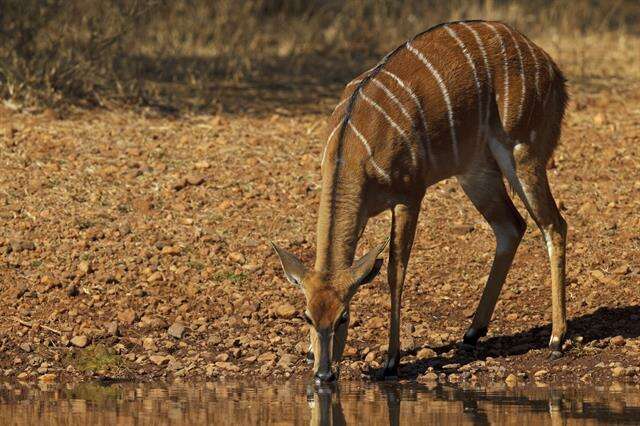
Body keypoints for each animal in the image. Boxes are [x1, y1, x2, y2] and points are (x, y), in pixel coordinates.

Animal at [270, 19, 564, 382]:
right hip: (476, 172)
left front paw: (391, 361)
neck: (351, 147)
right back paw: (472, 333)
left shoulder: (409, 195)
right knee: (512, 226)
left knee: (553, 225)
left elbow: (395, 272)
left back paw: (556, 339)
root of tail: (551, 68)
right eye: (307, 316)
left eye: (344, 317)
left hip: (523, 150)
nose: (324, 375)